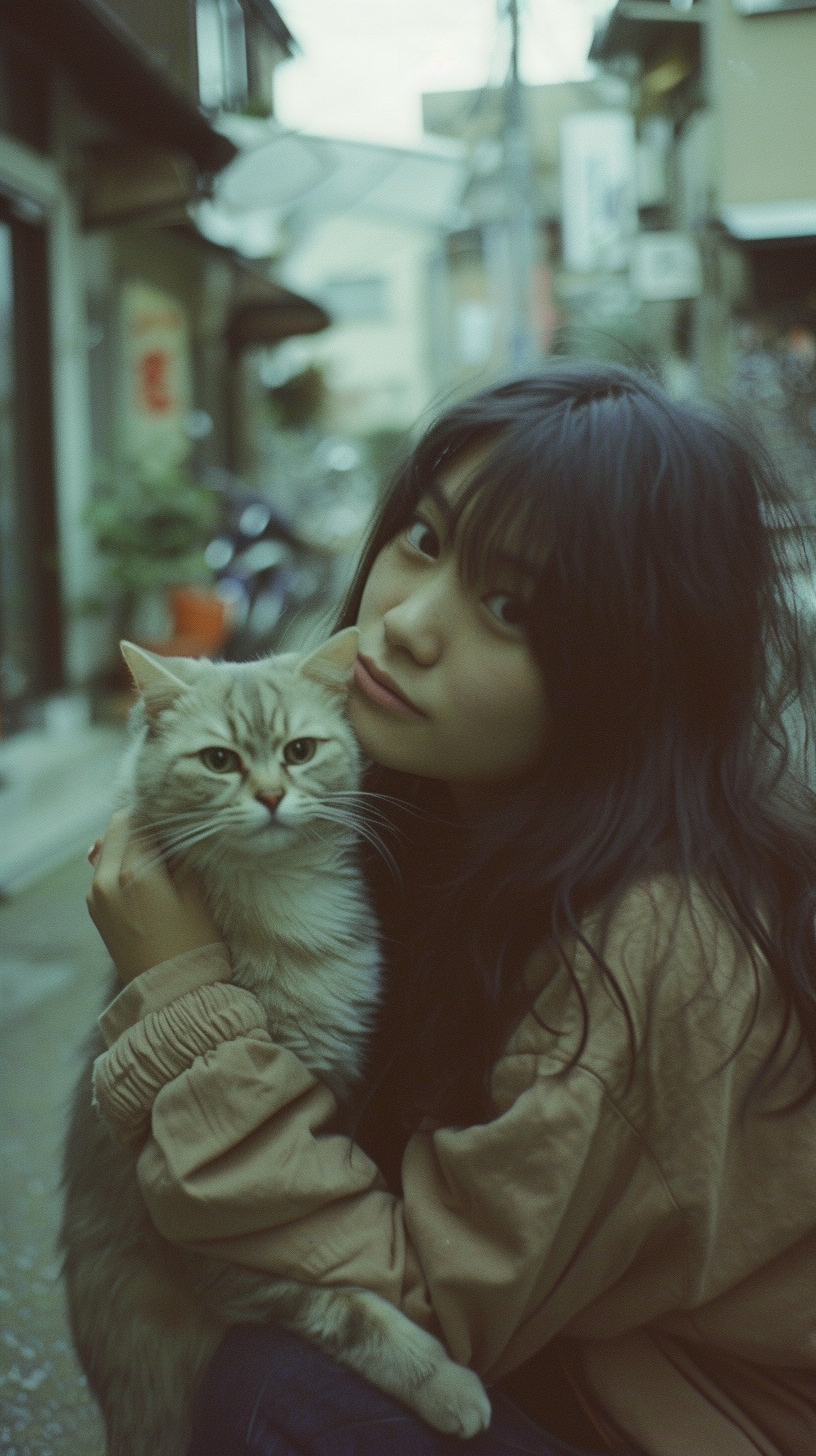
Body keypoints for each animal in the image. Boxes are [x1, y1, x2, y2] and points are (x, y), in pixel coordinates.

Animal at [60, 631, 489, 1456]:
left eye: (298, 751)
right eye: (219, 760)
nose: (267, 796)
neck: (285, 912)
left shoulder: (328, 1113)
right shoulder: (220, 1234)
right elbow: (347, 1308)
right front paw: (446, 1386)